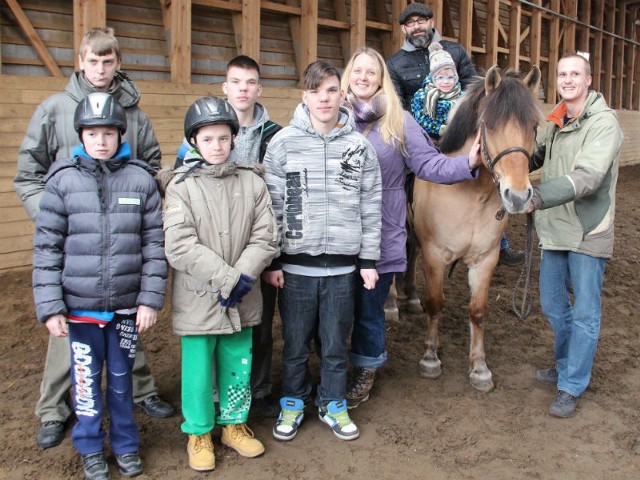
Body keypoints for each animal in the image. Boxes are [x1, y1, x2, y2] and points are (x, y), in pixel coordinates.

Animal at [404, 65, 540, 392]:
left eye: (534, 127)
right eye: (489, 126)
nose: (518, 196)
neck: (468, 195)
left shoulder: (485, 259)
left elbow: (477, 311)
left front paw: (479, 368)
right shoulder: (435, 255)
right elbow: (436, 304)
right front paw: (431, 357)